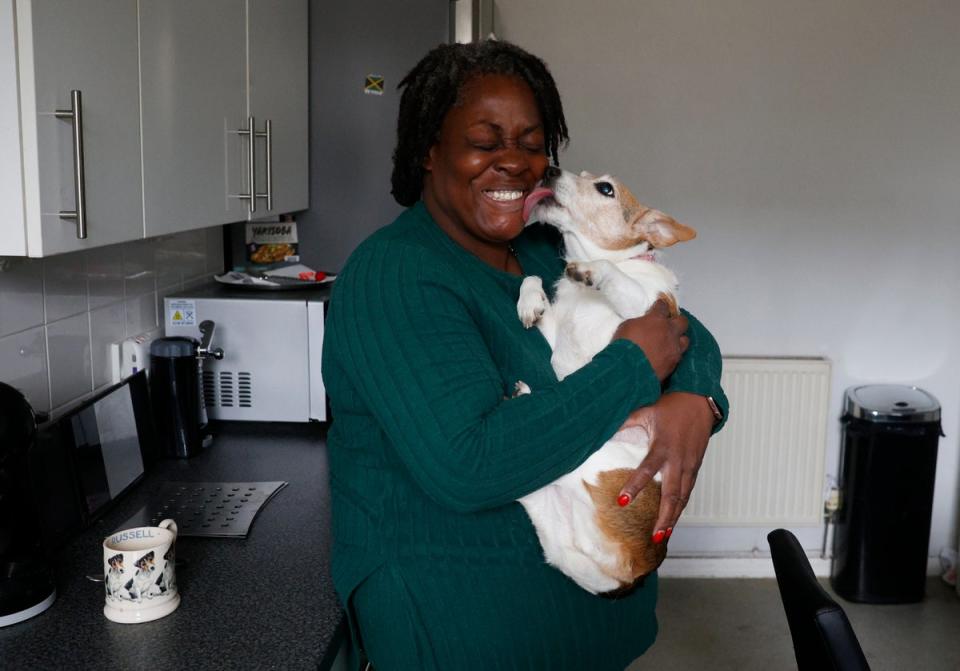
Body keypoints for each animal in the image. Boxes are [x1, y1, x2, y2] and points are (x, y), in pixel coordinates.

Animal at [512, 167, 692, 592]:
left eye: (605, 188)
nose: (549, 168)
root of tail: (636, 564)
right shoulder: (553, 334)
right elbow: (532, 280)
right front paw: (530, 301)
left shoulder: (645, 308)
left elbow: (614, 277)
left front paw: (594, 270)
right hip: (557, 529)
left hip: (591, 462)